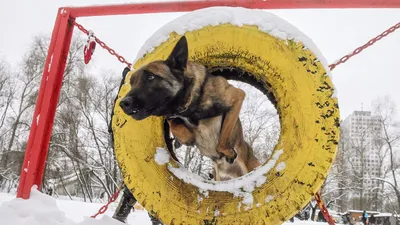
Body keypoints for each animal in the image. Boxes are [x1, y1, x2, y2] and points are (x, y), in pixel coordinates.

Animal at [119, 36, 260, 181]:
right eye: (131, 83)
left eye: (150, 77)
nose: (123, 103)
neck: (190, 106)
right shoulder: (176, 118)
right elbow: (176, 125)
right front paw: (184, 136)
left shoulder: (237, 97)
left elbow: (222, 139)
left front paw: (229, 152)